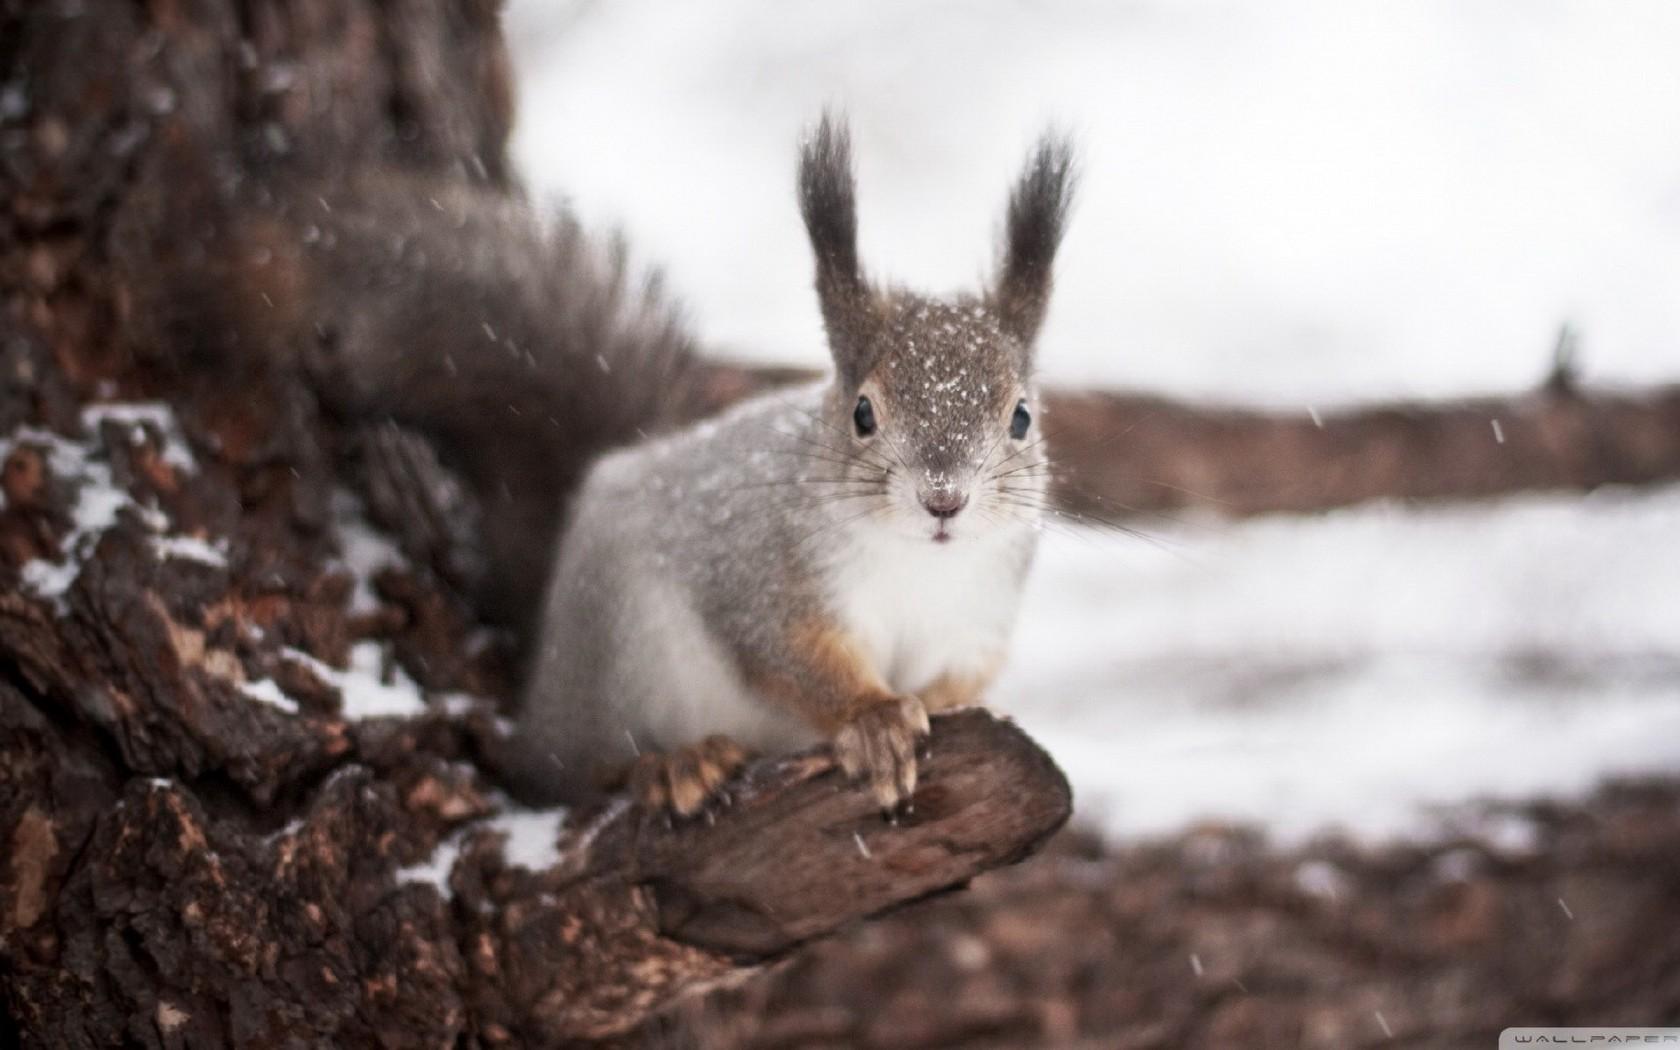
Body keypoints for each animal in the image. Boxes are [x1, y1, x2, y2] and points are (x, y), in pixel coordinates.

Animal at [127, 112, 1075, 809]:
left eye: (1022, 417)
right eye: (863, 414)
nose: (944, 499)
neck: (920, 567)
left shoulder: (979, 621)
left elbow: (960, 682)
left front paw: (950, 710)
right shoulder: (764, 572)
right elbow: (789, 656)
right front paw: (874, 719)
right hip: (620, 653)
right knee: (570, 772)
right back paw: (668, 765)